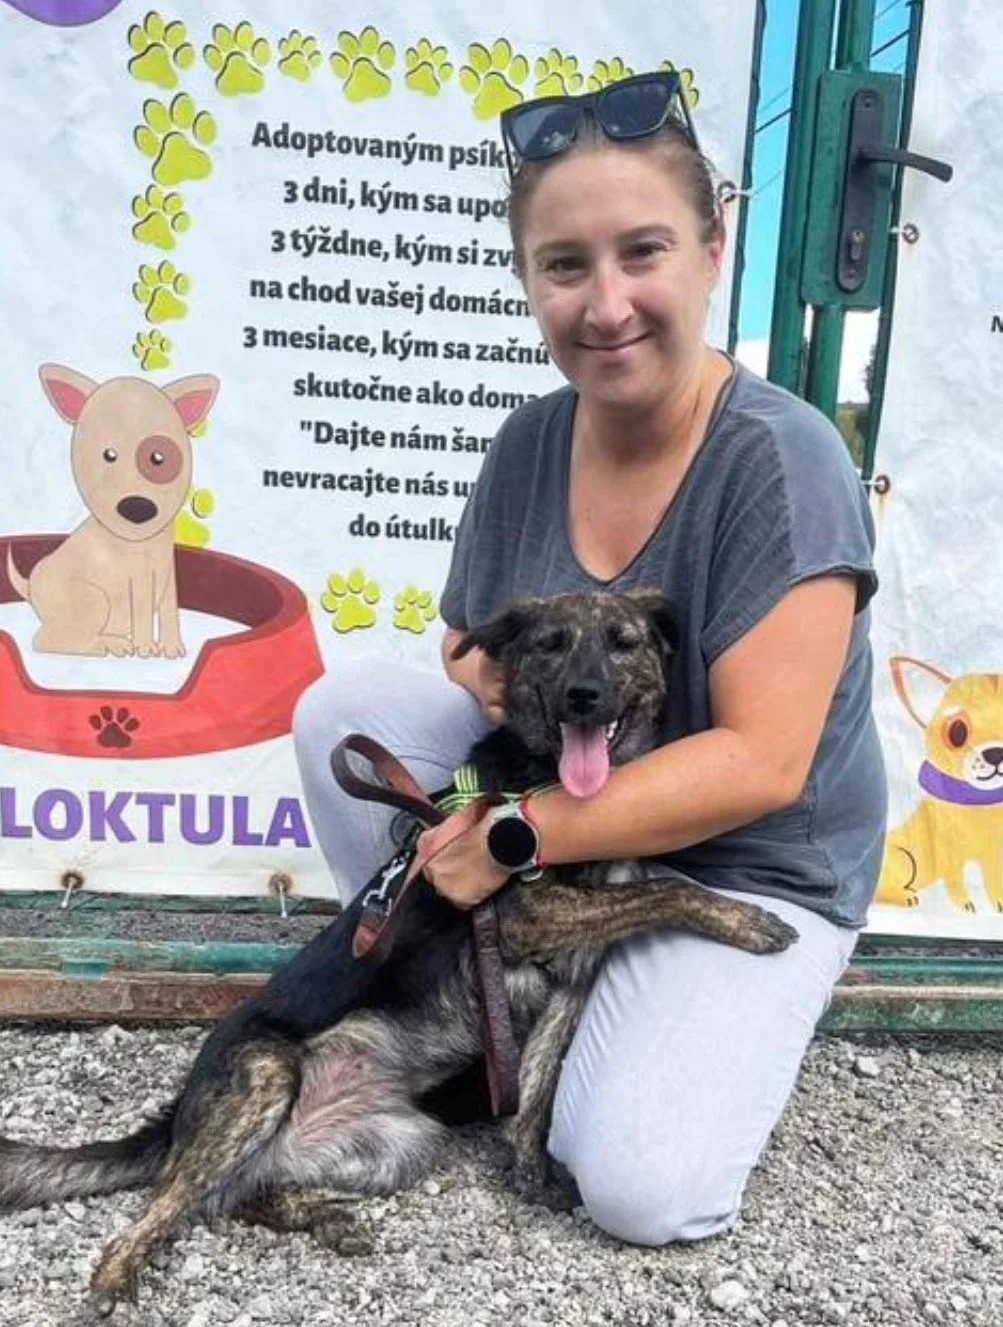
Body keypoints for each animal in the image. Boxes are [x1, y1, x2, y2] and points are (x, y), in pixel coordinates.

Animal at [0, 594, 801, 1316]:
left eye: (624, 643)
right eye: (549, 645)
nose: (584, 695)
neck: (550, 781)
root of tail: (174, 1120)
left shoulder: (570, 981)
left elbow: (537, 1088)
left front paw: (529, 1171)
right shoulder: (526, 911)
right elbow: (665, 889)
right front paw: (749, 920)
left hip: (404, 1142)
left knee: (234, 1195)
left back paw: (322, 1216)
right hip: (265, 1079)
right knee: (173, 1197)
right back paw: (118, 1273)